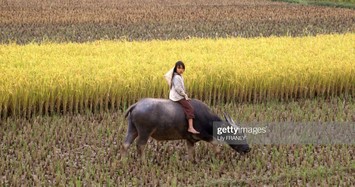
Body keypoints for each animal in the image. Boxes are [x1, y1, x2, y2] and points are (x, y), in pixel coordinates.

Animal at [124, 98, 252, 159]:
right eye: (237, 135)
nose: (247, 149)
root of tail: (136, 105)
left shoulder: (190, 139)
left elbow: (191, 152)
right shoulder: (204, 135)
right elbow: (216, 143)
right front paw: (219, 157)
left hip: (132, 129)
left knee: (126, 144)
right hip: (144, 132)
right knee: (140, 145)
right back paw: (143, 161)